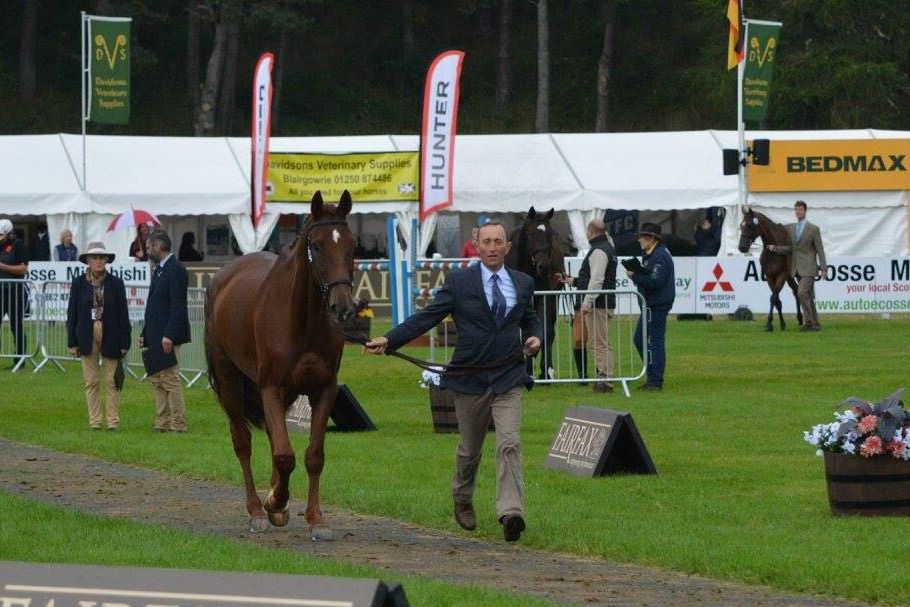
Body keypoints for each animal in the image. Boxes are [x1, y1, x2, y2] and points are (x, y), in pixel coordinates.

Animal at [207, 190, 356, 536]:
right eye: (317, 245)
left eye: (351, 245)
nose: (342, 306)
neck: (302, 320)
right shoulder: (270, 387)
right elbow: (285, 455)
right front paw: (275, 502)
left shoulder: (323, 389)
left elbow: (313, 455)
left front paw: (315, 518)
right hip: (230, 380)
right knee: (243, 441)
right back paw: (257, 510)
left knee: (272, 438)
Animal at [506, 209, 564, 380]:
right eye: (531, 233)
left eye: (549, 233)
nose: (544, 265)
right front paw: (528, 371)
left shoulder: (546, 297)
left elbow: (545, 331)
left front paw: (545, 370)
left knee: (549, 331)